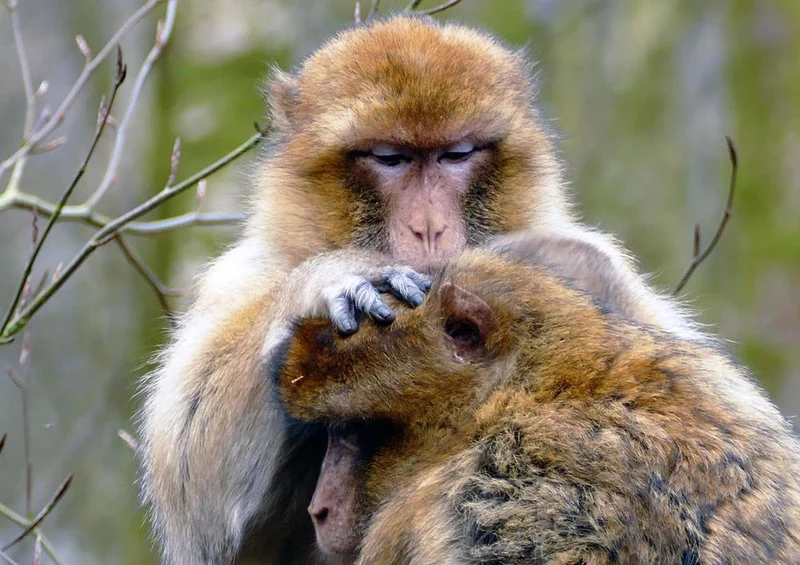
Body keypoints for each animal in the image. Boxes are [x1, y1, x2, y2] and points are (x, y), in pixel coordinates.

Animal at [139, 15, 704, 565]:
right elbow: (194, 491)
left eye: (455, 155)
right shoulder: (241, 275)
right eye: (391, 158)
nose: (429, 227)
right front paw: (332, 279)